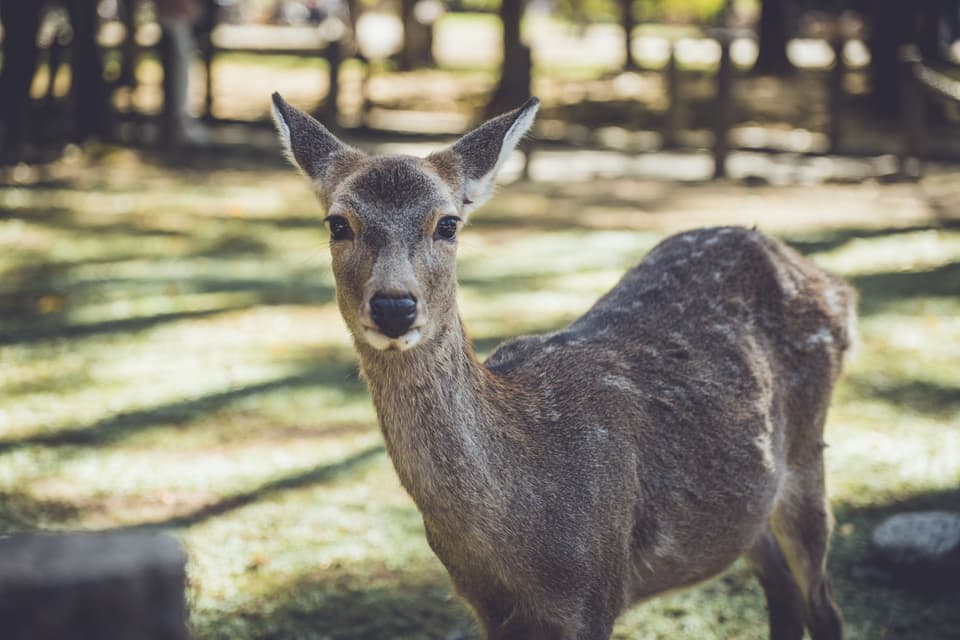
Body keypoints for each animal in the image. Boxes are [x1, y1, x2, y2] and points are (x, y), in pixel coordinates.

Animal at [270, 93, 855, 640]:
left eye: (448, 224)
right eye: (337, 223)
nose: (394, 306)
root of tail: (834, 284)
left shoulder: (595, 592)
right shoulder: (486, 608)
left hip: (807, 453)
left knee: (823, 603)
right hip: (751, 504)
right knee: (783, 592)